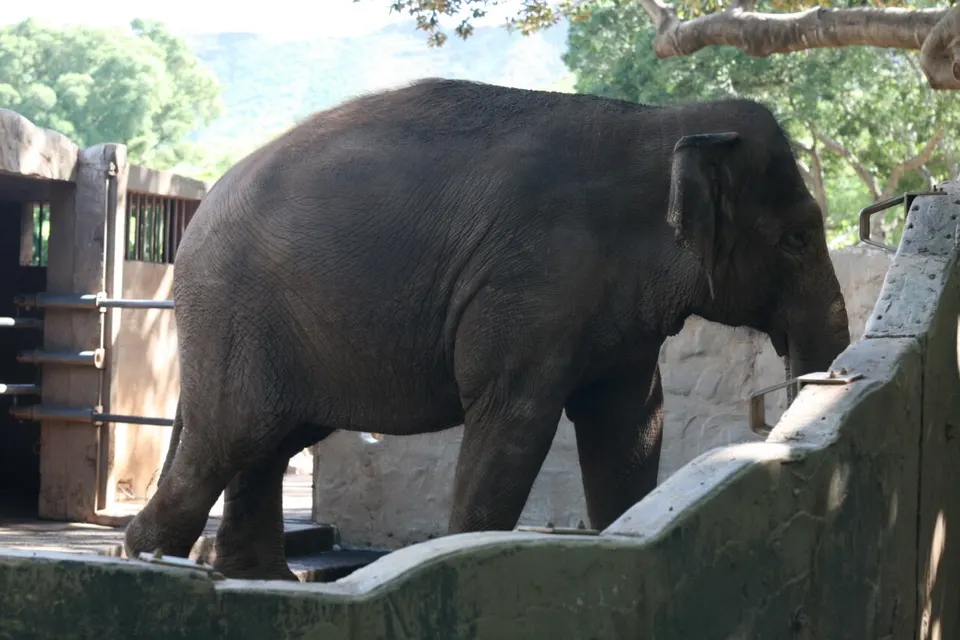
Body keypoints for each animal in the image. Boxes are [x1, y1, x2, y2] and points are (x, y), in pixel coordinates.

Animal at [124, 77, 850, 581]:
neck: (660, 123)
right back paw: (149, 561)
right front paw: (463, 548)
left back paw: (256, 580)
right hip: (233, 312)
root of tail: (203, 205)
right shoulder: (532, 281)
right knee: (229, 438)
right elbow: (515, 416)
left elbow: (630, 420)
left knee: (269, 444)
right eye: (797, 239)